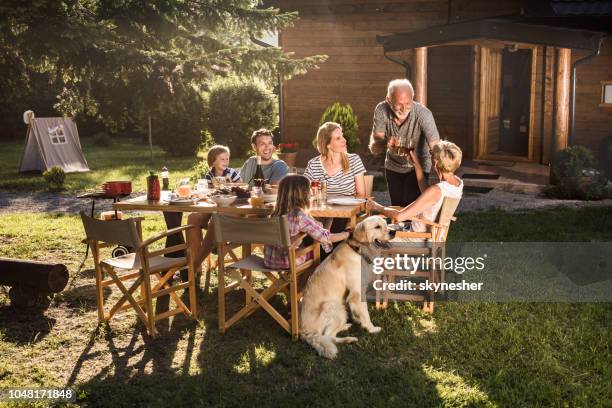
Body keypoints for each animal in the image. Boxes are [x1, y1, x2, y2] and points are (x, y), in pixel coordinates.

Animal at [298, 215, 394, 358]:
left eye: (386, 223)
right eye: (377, 227)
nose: (394, 232)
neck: (359, 250)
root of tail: (305, 331)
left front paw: (358, 320)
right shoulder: (357, 292)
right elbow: (365, 313)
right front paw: (371, 328)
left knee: (330, 335)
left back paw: (346, 328)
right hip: (334, 306)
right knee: (328, 336)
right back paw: (349, 338)